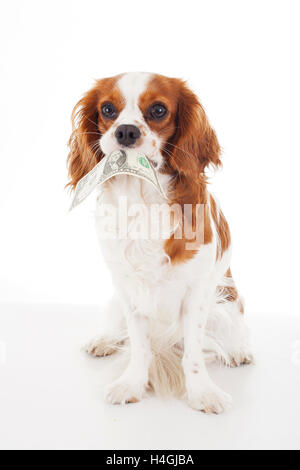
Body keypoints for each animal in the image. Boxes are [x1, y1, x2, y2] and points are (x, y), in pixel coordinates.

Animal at [68, 71, 253, 414]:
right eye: (107, 109)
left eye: (158, 110)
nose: (126, 131)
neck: (142, 200)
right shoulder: (128, 289)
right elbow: (139, 345)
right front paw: (132, 384)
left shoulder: (197, 293)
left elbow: (193, 352)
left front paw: (202, 392)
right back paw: (104, 339)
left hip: (226, 301)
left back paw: (238, 349)